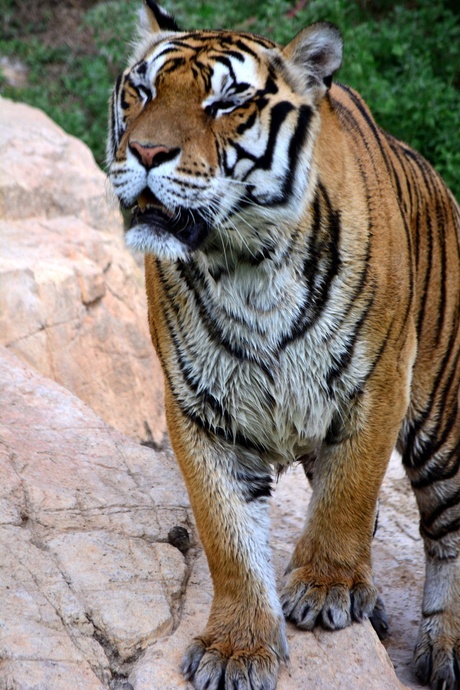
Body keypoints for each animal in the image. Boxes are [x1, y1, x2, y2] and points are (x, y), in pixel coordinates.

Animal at [106, 1, 460, 688]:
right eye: (143, 90)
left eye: (225, 102)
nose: (147, 150)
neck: (246, 265)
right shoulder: (200, 409)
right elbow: (229, 537)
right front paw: (238, 647)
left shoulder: (379, 381)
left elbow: (349, 492)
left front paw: (324, 588)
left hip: (441, 414)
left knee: (450, 529)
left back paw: (446, 645)